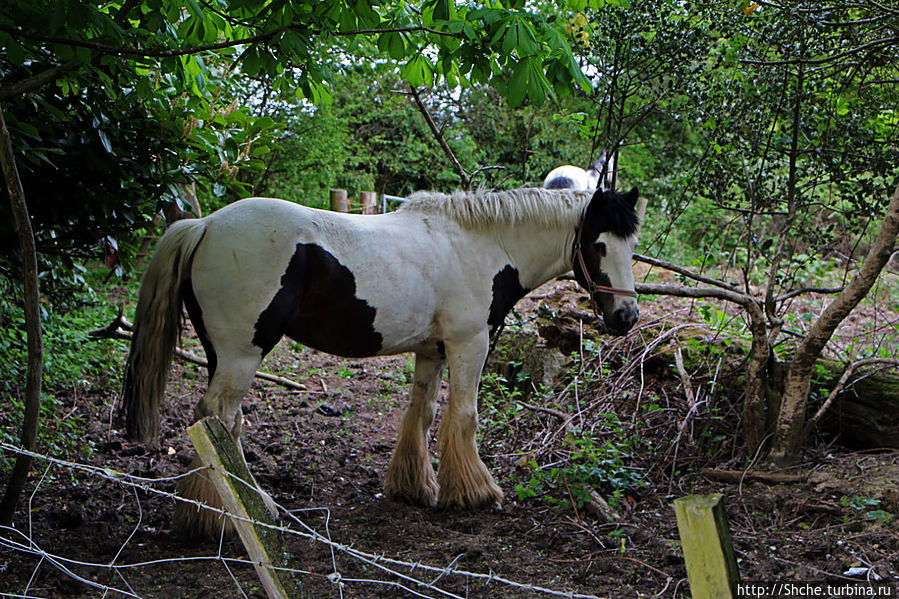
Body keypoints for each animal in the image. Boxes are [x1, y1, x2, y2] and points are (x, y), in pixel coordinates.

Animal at [123, 185, 644, 536]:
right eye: (598, 244)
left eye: (633, 246)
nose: (627, 317)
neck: (482, 245)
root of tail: (205, 225)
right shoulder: (470, 344)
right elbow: (464, 416)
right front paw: (474, 494)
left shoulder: (432, 351)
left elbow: (423, 414)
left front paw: (416, 488)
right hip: (241, 355)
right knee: (218, 419)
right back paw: (230, 517)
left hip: (223, 356)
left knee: (221, 427)